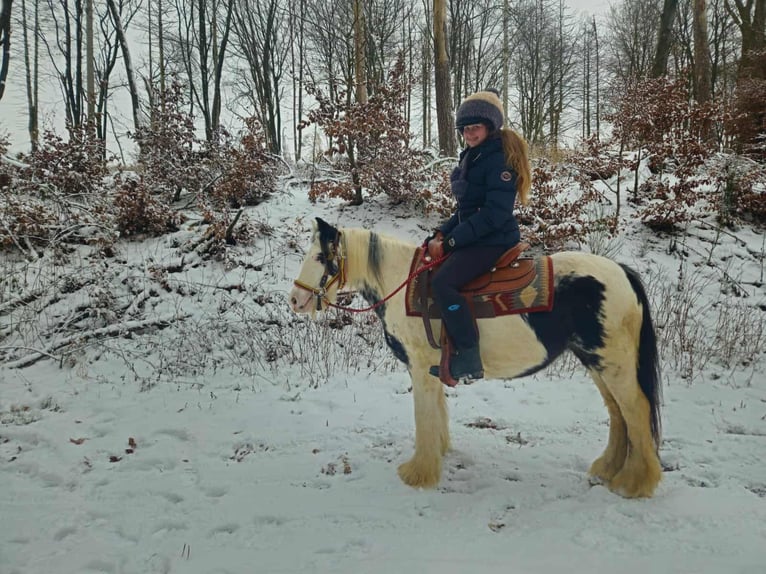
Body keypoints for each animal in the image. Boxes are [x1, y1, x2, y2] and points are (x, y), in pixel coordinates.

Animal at [289, 217, 663, 498]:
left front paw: (418, 473)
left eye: (320, 258)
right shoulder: (432, 371)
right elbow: (436, 413)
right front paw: (438, 456)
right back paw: (608, 469)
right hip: (596, 361)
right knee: (618, 413)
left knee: (635, 410)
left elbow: (423, 417)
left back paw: (635, 483)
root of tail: (623, 273)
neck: (401, 285)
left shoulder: (420, 369)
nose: (295, 299)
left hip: (613, 362)